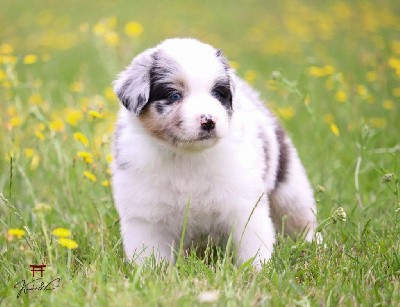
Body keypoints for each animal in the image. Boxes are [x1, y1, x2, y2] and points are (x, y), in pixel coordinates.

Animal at [111, 38, 318, 270]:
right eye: (174, 95)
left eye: (218, 93)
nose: (209, 121)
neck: (187, 157)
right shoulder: (145, 216)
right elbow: (150, 256)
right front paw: (153, 273)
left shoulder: (244, 205)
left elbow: (253, 246)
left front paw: (257, 271)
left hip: (291, 192)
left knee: (301, 219)